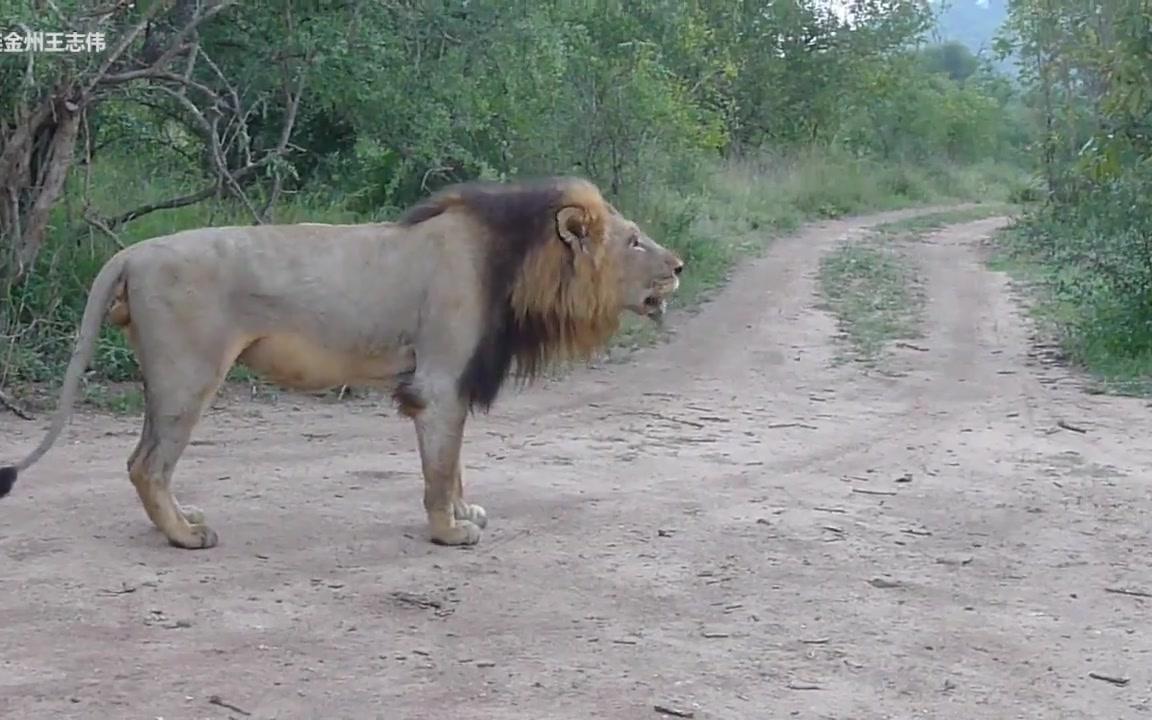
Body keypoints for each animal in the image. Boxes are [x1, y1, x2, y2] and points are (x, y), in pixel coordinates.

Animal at [0, 177, 681, 548]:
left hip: (164, 378)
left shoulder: (452, 384)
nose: (680, 266)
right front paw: (449, 532)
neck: (517, 265)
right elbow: (440, 468)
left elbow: (456, 464)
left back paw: (182, 519)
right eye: (635, 240)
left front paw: (464, 512)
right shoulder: (438, 381)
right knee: (146, 465)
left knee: (145, 460)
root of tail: (133, 252)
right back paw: (187, 537)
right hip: (188, 376)